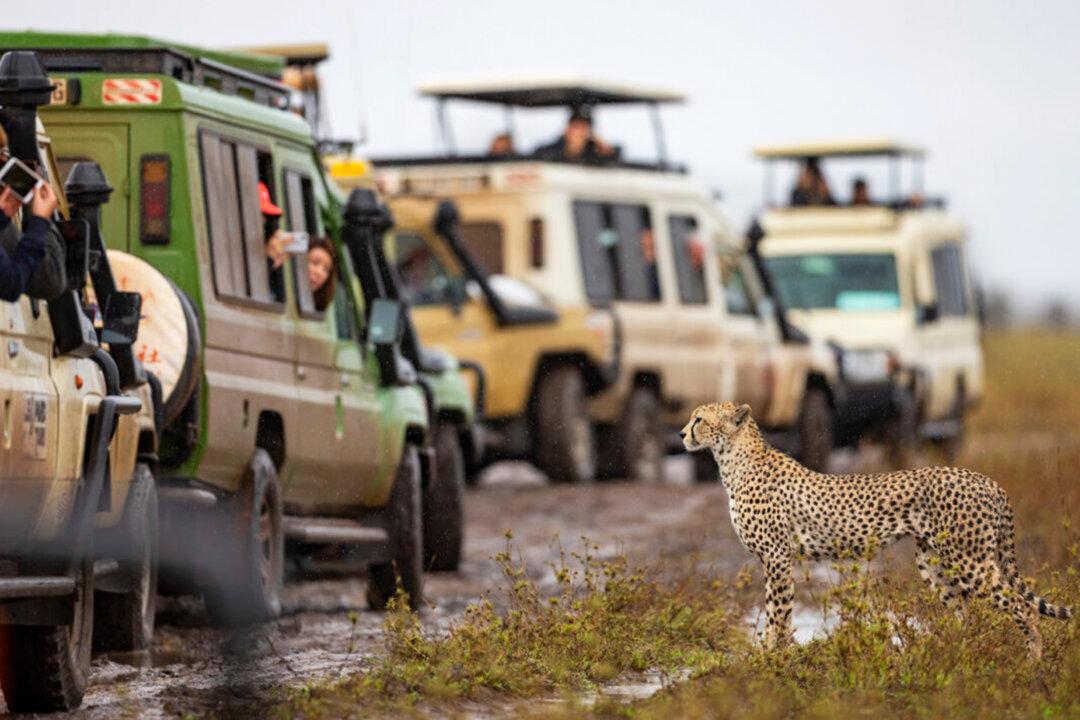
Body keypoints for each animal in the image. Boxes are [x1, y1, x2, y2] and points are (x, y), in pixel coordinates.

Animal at [681, 401, 1072, 660]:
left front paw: (769, 661)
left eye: (699, 419)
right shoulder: (777, 559)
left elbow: (778, 612)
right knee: (965, 612)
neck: (734, 459)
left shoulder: (777, 557)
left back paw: (1031, 663)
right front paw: (779, 657)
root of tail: (987, 480)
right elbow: (781, 613)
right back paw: (954, 655)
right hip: (933, 562)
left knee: (1022, 605)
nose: (682, 434)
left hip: (970, 560)